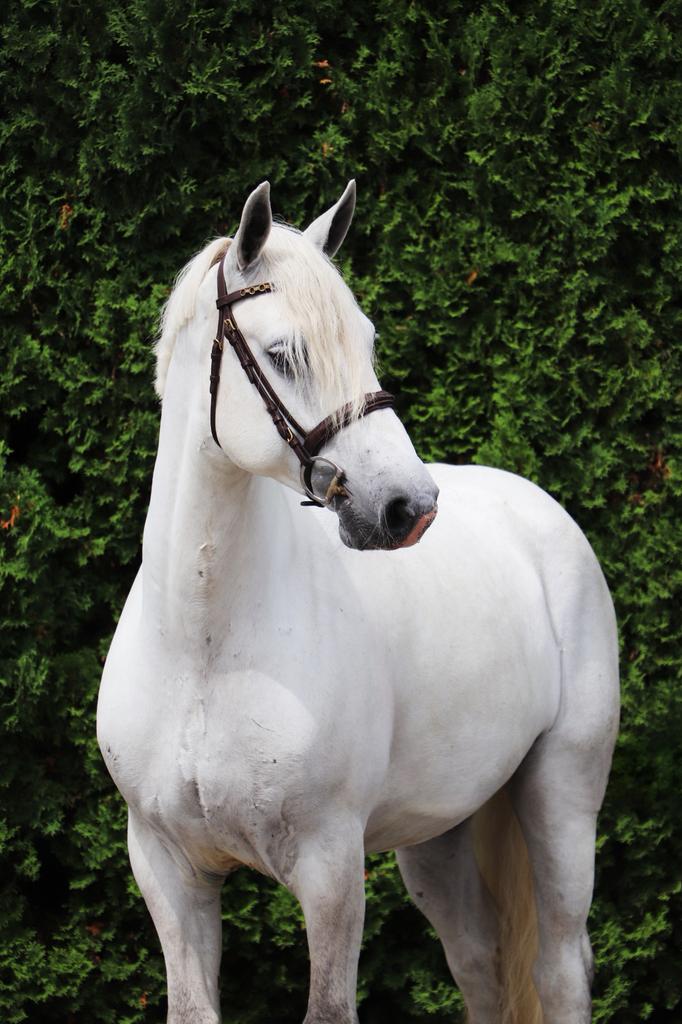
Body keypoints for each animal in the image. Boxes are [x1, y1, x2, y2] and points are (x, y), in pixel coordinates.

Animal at [97, 180, 620, 1024]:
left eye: (367, 341)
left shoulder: (330, 867)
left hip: (563, 799)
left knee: (561, 968)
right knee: (479, 964)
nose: (409, 507)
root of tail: (540, 510)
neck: (205, 645)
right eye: (283, 353)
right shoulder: (168, 869)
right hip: (440, 834)